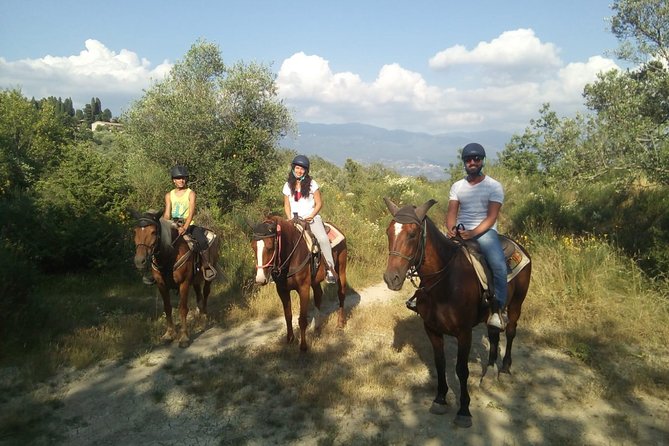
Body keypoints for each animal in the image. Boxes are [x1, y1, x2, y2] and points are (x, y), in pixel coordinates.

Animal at [132, 209, 220, 348]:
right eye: (135, 232)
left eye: (153, 232)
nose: (139, 261)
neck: (169, 255)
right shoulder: (161, 285)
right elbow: (167, 308)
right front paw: (169, 334)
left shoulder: (184, 283)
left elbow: (183, 309)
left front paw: (184, 337)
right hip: (195, 280)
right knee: (199, 297)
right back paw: (199, 318)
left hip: (208, 277)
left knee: (206, 293)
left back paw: (204, 319)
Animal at [250, 216, 350, 352]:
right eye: (253, 247)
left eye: (270, 246)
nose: (260, 279)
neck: (292, 255)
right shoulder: (282, 290)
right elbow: (288, 316)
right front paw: (290, 339)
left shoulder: (303, 288)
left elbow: (302, 319)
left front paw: (303, 346)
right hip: (314, 280)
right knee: (318, 295)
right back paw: (316, 327)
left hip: (341, 269)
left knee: (341, 293)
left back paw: (340, 323)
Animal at [380, 199, 532, 428]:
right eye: (389, 232)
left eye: (413, 234)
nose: (392, 278)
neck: (445, 282)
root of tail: (520, 247)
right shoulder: (432, 329)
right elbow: (440, 363)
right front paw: (440, 399)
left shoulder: (464, 333)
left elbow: (461, 370)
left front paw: (464, 410)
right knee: (494, 335)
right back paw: (490, 372)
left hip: (516, 304)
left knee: (511, 331)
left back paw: (505, 369)